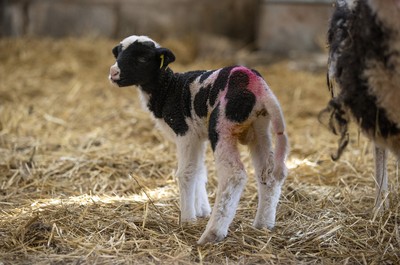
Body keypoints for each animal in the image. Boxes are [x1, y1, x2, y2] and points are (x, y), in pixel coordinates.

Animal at [109, 35, 290, 243]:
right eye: (118, 54)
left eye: (143, 58)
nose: (113, 72)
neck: (168, 88)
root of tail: (258, 87)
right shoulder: (198, 136)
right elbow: (198, 171)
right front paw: (202, 209)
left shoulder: (185, 132)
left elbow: (186, 173)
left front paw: (188, 219)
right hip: (260, 130)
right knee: (268, 174)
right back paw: (263, 224)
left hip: (222, 127)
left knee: (233, 175)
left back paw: (213, 233)